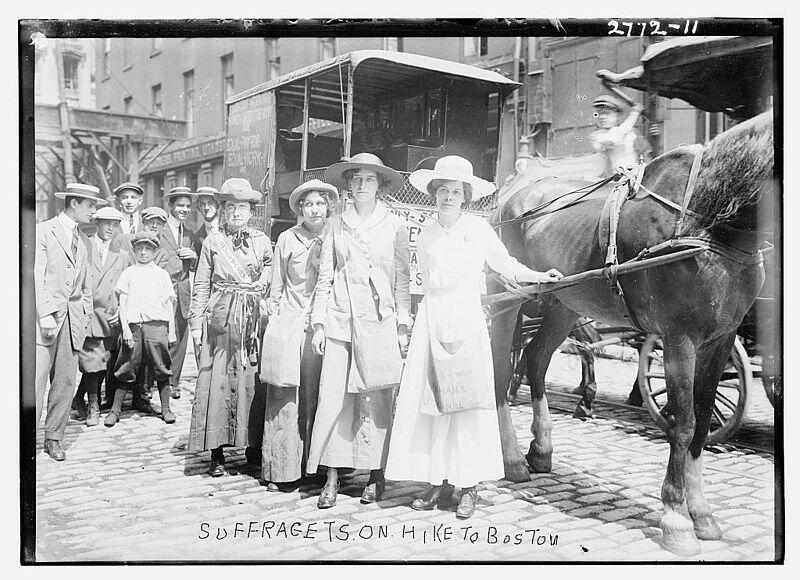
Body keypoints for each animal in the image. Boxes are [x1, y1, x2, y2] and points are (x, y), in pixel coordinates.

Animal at [488, 111, 776, 556]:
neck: (706, 221)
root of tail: (509, 195)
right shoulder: (678, 340)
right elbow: (684, 422)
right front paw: (676, 518)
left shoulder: (721, 341)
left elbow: (704, 419)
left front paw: (702, 514)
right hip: (508, 300)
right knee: (502, 369)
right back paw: (513, 459)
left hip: (562, 304)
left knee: (535, 361)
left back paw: (542, 448)